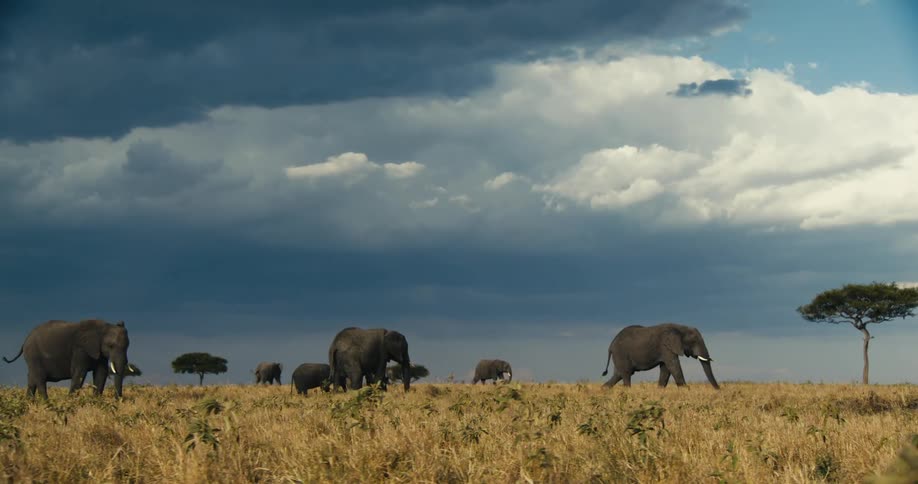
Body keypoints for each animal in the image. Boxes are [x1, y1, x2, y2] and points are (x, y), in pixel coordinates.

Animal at [3, 319, 134, 399]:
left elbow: (101, 373)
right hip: (33, 356)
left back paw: (29, 402)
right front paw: (71, 401)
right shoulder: (80, 349)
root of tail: (25, 340)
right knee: (40, 379)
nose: (118, 399)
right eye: (111, 346)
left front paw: (96, 401)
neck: (103, 327)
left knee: (31, 379)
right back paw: (46, 403)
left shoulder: (99, 352)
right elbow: (79, 373)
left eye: (128, 346)